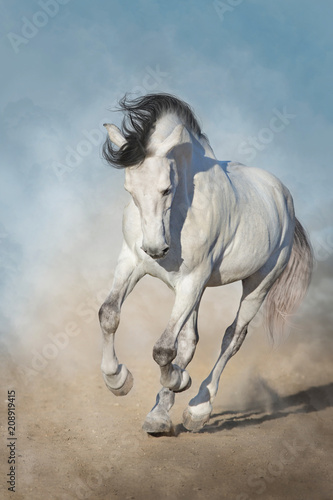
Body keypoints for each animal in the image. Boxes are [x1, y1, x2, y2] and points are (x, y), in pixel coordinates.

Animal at [98, 94, 312, 434]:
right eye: (129, 190)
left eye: (166, 188)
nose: (155, 248)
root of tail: (283, 197)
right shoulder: (132, 261)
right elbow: (109, 315)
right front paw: (118, 380)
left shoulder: (192, 280)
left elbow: (163, 349)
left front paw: (179, 380)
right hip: (194, 293)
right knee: (189, 341)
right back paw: (159, 415)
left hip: (258, 285)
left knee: (232, 338)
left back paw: (198, 408)